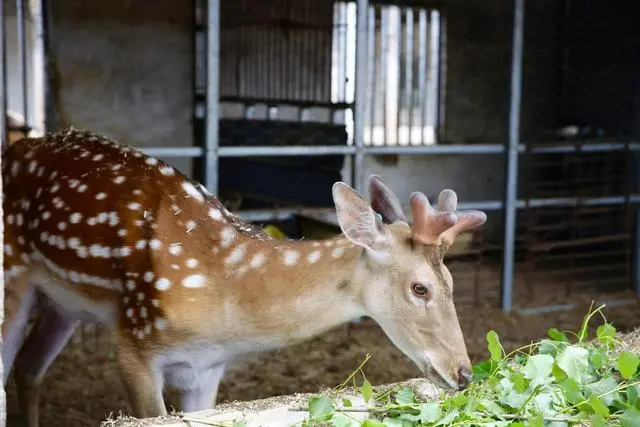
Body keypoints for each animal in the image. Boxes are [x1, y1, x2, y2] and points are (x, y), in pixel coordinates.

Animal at [2, 128, 488, 424]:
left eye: (452, 283)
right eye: (420, 288)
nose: (464, 373)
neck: (224, 291)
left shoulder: (206, 369)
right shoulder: (134, 343)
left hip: (63, 303)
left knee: (28, 367)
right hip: (13, 275)